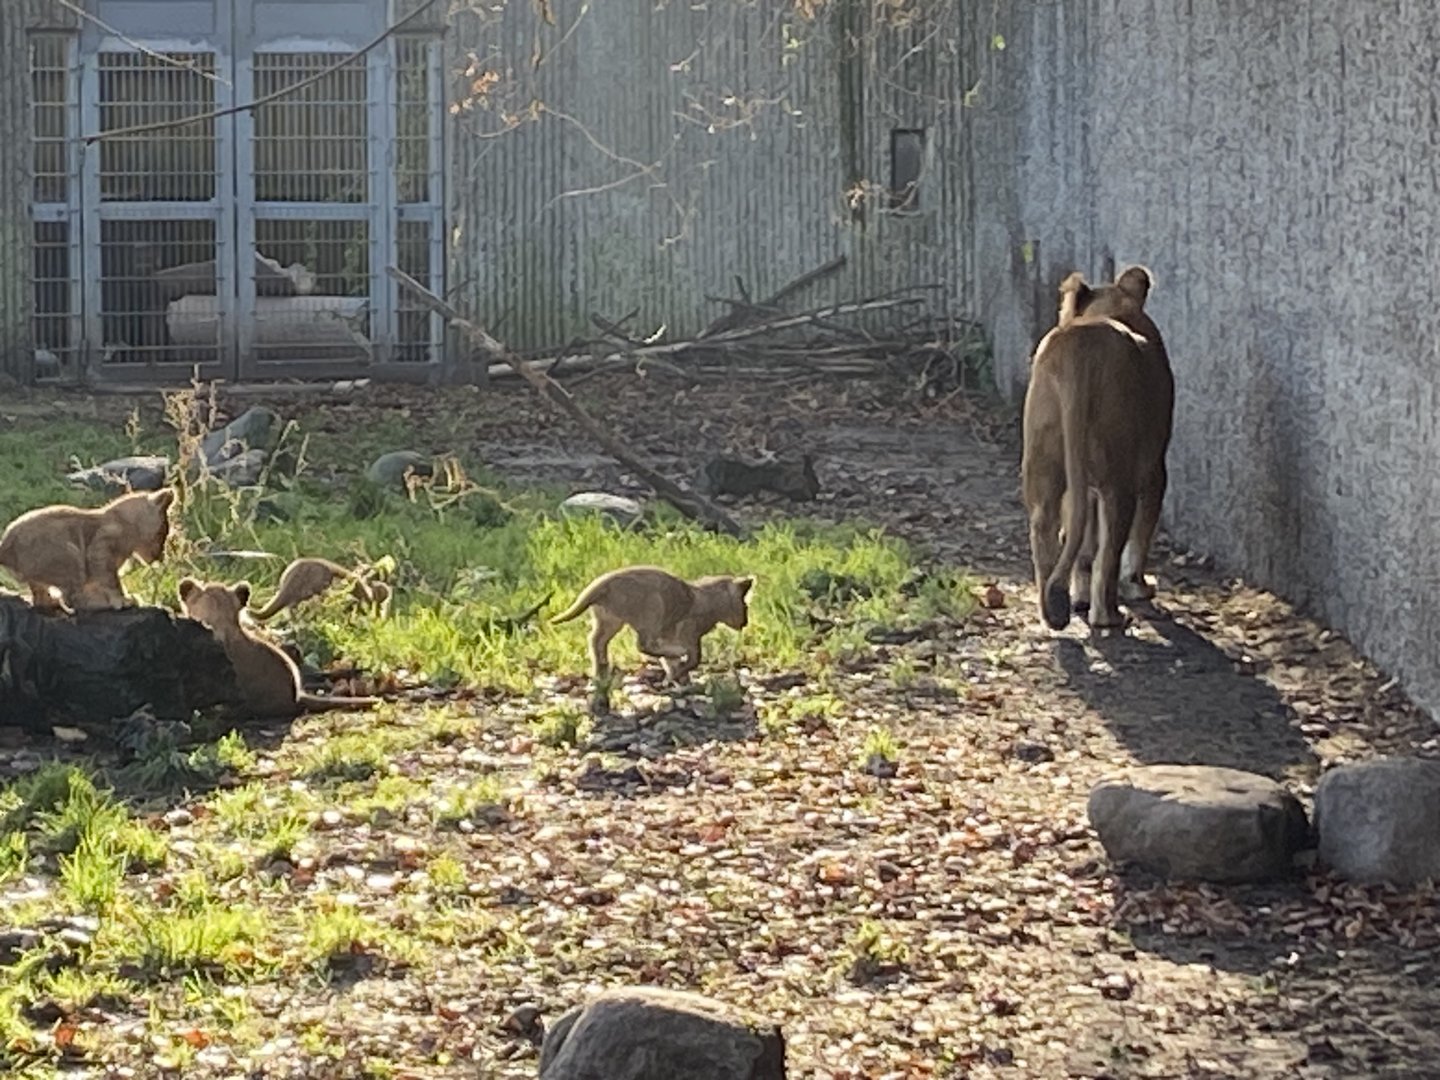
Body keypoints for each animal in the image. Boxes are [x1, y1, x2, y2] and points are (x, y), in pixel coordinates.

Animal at [0, 489, 175, 613]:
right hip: (71, 555)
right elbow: (112, 581)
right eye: (162, 534)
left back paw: (52, 602)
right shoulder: (100, 551)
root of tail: (4, 545)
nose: (161, 556)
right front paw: (122, 601)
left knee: (40, 600)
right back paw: (102, 604)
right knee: (74, 600)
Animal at [1020, 265, 1175, 630]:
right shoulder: (1154, 469)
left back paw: (1054, 610)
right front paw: (1138, 587)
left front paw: (1078, 597)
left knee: (1045, 527)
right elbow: (1137, 538)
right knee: (1110, 552)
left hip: (1044, 461)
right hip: (1119, 478)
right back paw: (1110, 616)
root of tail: (1080, 348)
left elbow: (1083, 549)